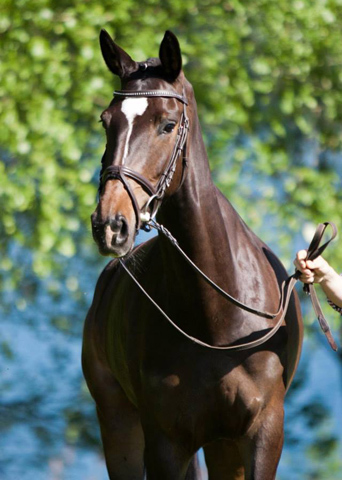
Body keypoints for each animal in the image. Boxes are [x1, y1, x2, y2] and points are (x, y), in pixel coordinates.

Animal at [83, 31, 302, 480]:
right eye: (106, 121)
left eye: (168, 124)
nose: (110, 224)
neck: (216, 317)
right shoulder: (165, 443)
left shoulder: (264, 433)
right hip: (120, 426)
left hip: (223, 445)